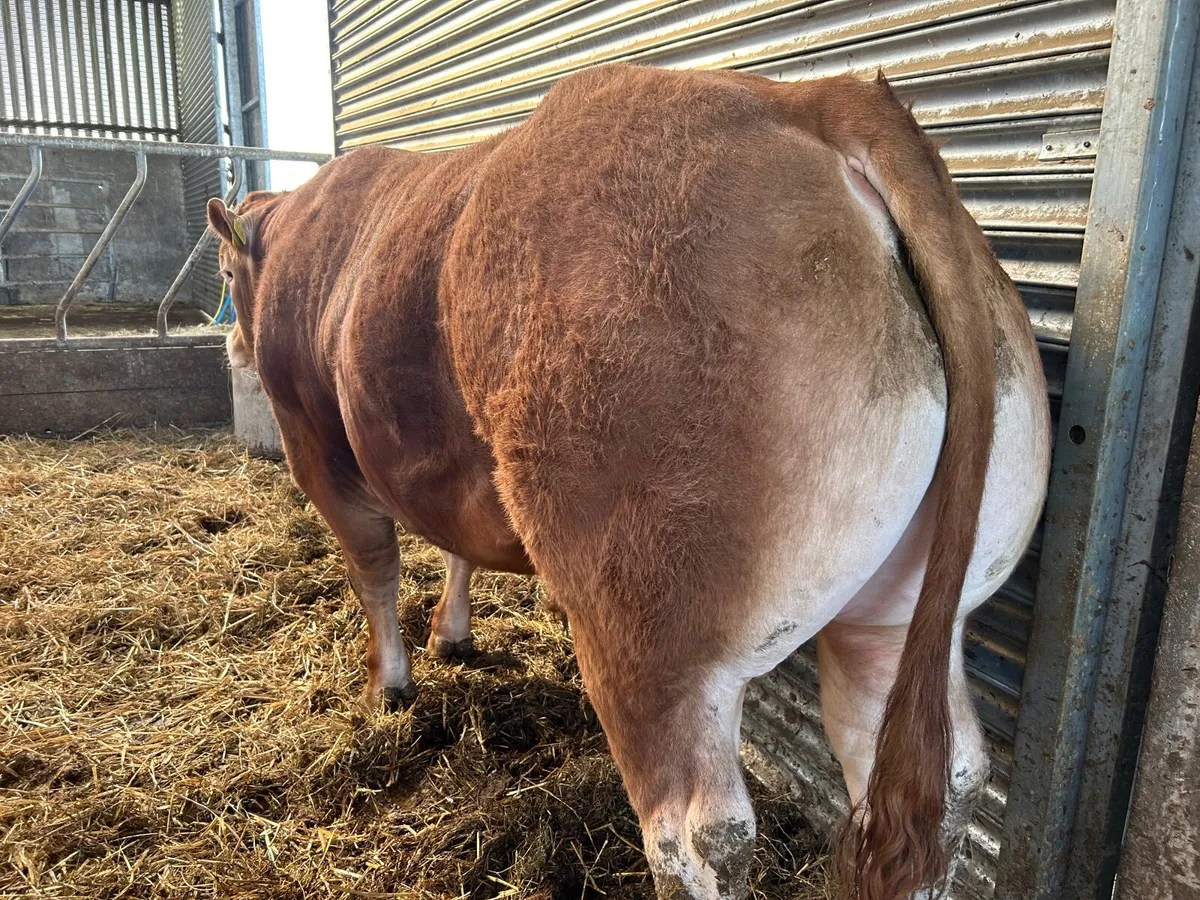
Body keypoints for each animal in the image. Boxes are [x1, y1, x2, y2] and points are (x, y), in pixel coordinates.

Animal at [206, 64, 1050, 900]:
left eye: (221, 270)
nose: (232, 349)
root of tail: (816, 95)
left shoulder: (315, 447)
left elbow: (373, 571)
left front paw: (389, 685)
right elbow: (456, 546)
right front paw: (452, 633)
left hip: (651, 631)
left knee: (696, 835)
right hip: (900, 613)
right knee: (928, 783)